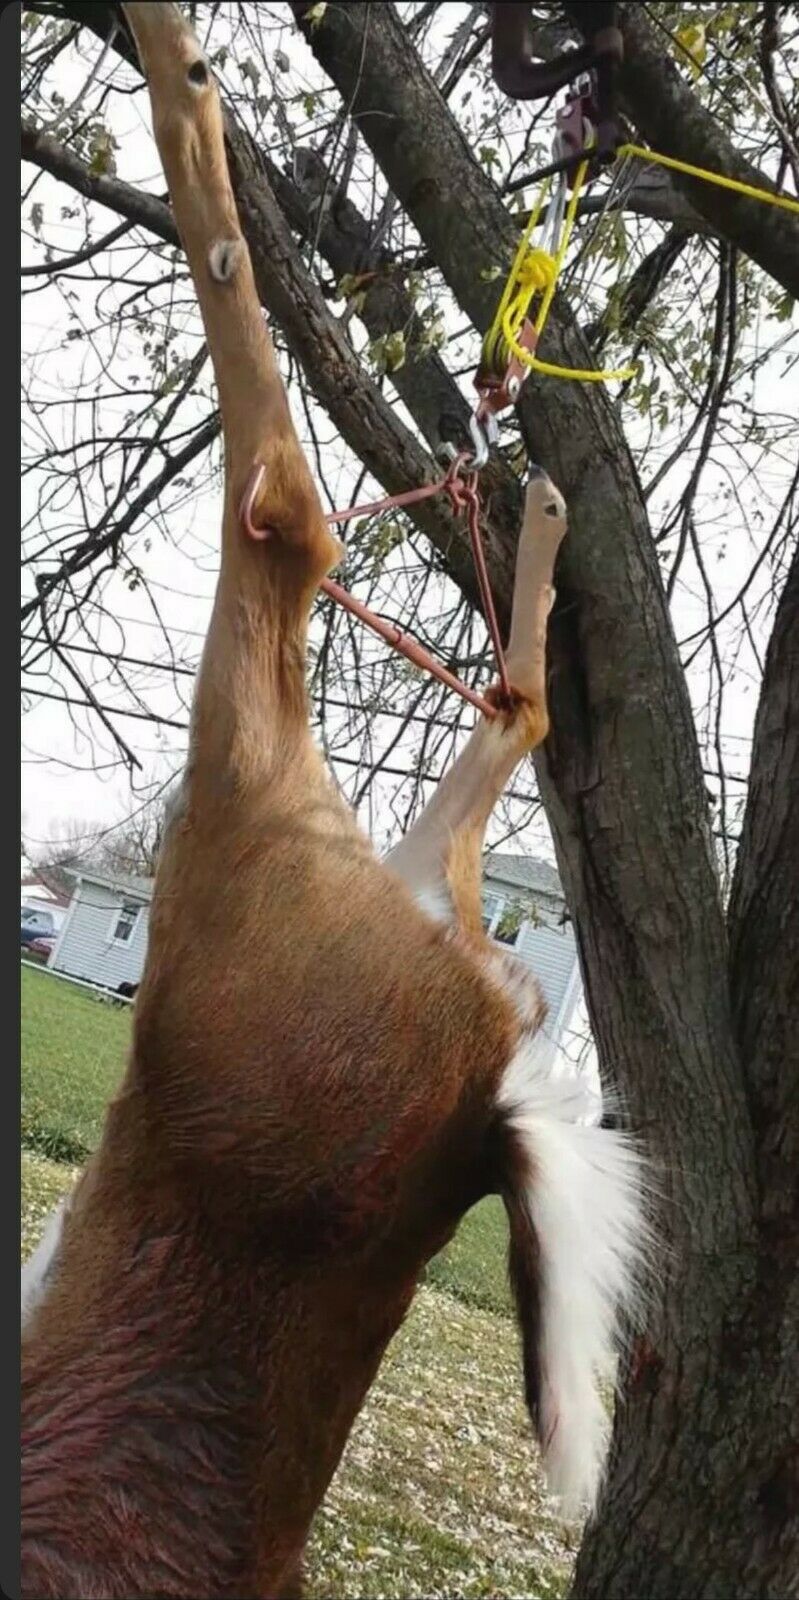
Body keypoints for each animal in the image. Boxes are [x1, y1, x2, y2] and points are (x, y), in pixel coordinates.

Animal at [21, 7, 647, 1597]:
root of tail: (481, 1110)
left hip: (236, 867)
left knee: (287, 497)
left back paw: (181, 66)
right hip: (358, 865)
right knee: (510, 706)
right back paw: (542, 501)